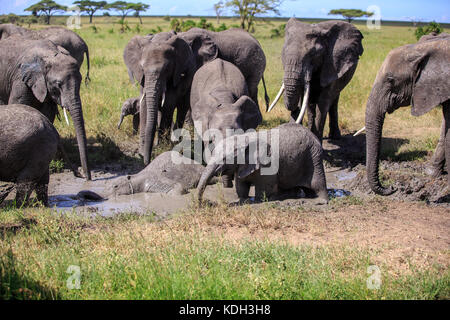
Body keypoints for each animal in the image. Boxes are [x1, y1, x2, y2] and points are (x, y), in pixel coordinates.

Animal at [0, 37, 91, 180]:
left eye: (81, 80)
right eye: (58, 84)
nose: (85, 176)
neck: (50, 55)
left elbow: (48, 113)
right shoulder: (20, 78)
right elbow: (19, 103)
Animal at [123, 28, 268, 165]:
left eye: (167, 69)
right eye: (141, 67)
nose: (147, 161)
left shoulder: (189, 67)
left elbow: (169, 102)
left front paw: (162, 148)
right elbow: (145, 103)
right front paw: (143, 152)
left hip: (255, 63)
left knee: (251, 89)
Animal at [197, 122, 326, 202]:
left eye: (224, 159)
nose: (202, 204)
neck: (244, 139)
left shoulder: (268, 164)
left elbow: (263, 190)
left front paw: (259, 200)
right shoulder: (242, 166)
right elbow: (241, 187)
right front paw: (244, 199)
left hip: (313, 155)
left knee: (317, 182)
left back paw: (319, 201)